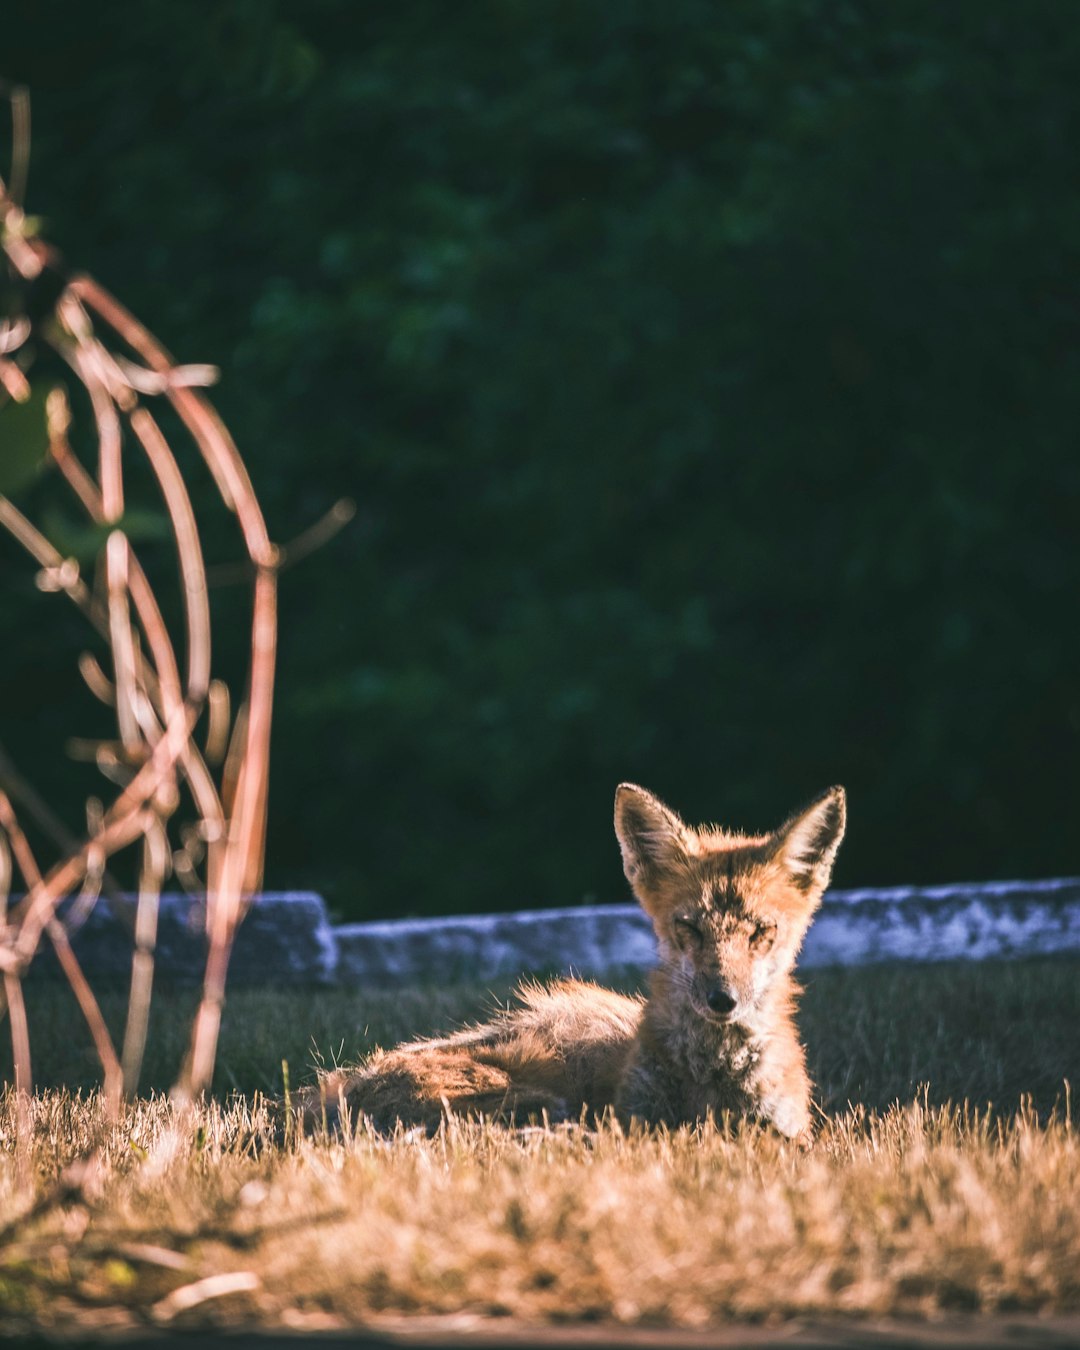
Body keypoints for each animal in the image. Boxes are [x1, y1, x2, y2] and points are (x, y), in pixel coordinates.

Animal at [299, 788, 847, 1144]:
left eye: (760, 931)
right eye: (689, 927)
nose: (722, 999)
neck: (712, 1084)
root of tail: (332, 1089)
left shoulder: (788, 1133)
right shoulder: (637, 1120)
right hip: (532, 1095)